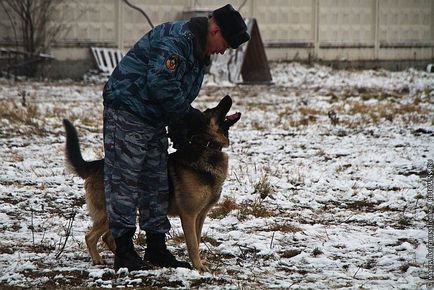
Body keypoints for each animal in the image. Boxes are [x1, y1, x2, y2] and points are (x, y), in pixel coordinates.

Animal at [63, 95, 241, 272]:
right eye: (212, 110)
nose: (227, 97)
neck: (206, 146)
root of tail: (96, 165)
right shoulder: (189, 215)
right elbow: (192, 245)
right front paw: (199, 267)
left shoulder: (200, 216)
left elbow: (196, 241)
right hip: (110, 213)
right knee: (90, 236)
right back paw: (100, 259)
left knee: (107, 237)